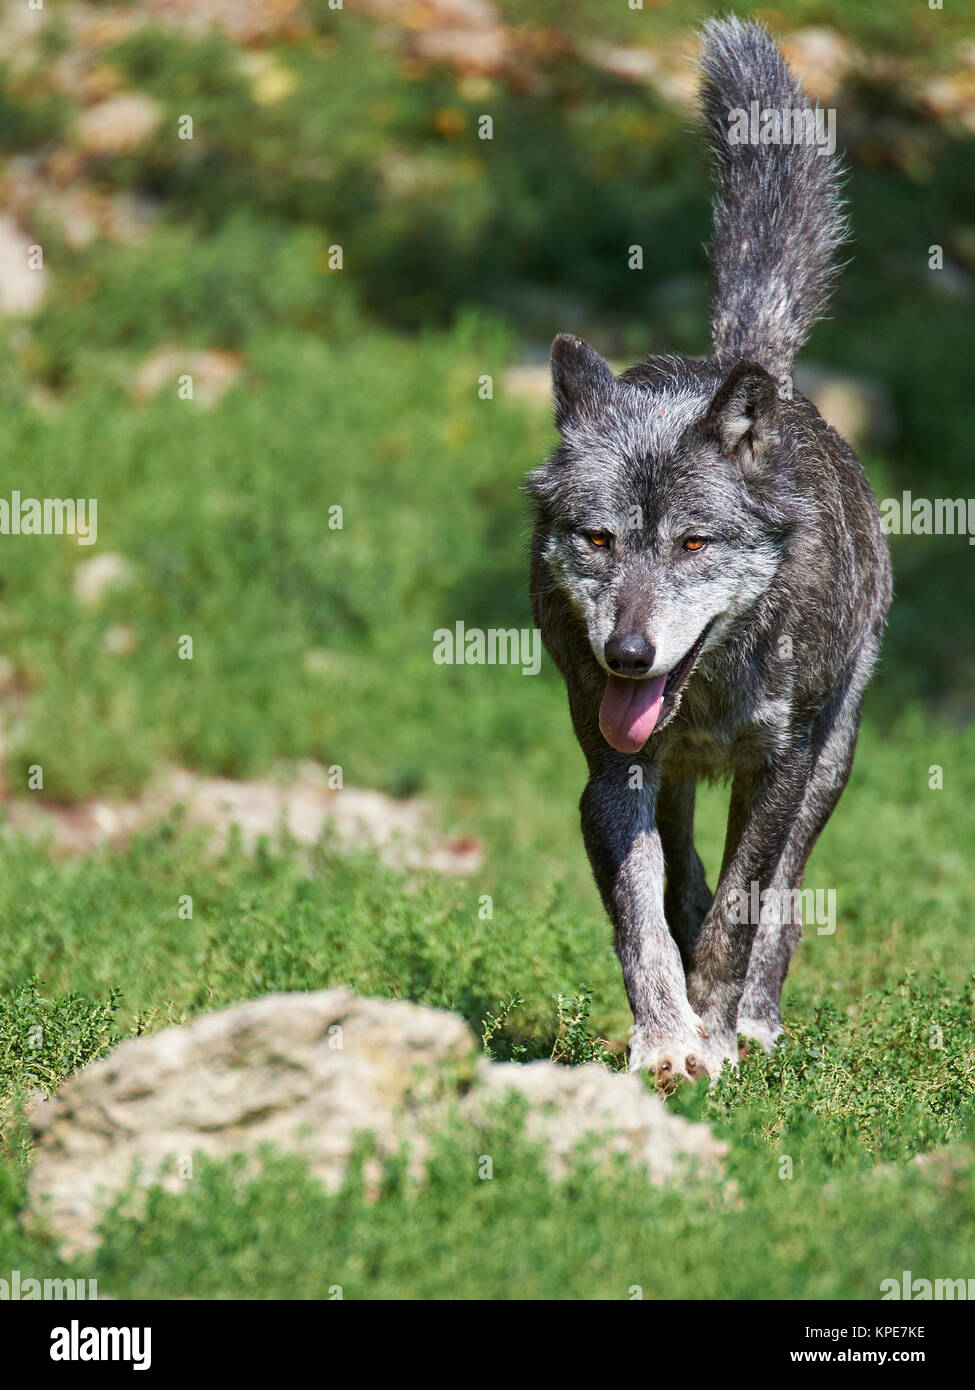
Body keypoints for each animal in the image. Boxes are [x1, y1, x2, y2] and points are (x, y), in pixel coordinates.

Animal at [525, 16, 890, 1089]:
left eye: (693, 541)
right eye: (598, 540)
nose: (627, 656)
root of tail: (739, 364)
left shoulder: (780, 767)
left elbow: (742, 909)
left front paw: (720, 1036)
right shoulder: (612, 774)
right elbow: (642, 918)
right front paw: (665, 1043)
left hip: (831, 762)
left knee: (782, 896)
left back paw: (757, 1023)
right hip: (675, 776)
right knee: (681, 875)